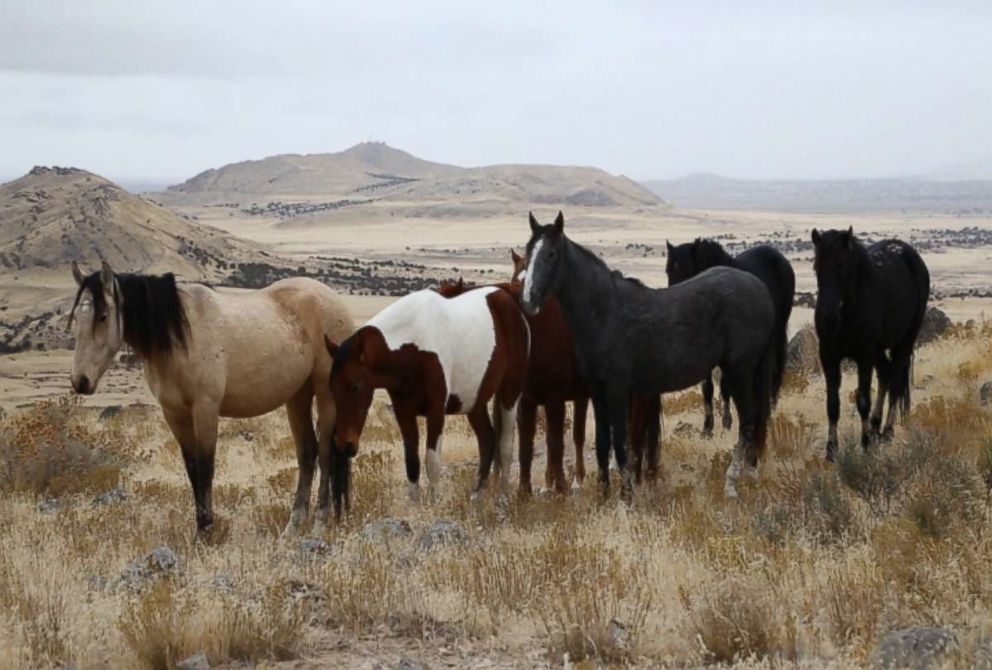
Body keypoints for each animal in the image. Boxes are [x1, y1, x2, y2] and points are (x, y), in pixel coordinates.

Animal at [68, 261, 355, 535]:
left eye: (103, 316)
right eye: (77, 318)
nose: (80, 381)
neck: (179, 338)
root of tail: (334, 301)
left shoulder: (205, 409)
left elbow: (206, 469)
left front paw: (207, 532)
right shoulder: (174, 415)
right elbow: (193, 469)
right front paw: (200, 531)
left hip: (326, 395)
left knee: (326, 453)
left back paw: (320, 523)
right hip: (297, 396)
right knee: (307, 453)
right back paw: (292, 527)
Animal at [323, 285, 529, 514]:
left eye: (355, 386)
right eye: (332, 387)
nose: (345, 445)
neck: (412, 347)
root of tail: (506, 297)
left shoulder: (436, 411)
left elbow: (432, 461)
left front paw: (434, 505)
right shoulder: (403, 413)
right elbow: (412, 461)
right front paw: (415, 508)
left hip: (510, 392)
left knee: (505, 443)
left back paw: (502, 497)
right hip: (474, 401)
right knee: (487, 440)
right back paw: (477, 496)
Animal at [521, 212, 777, 498]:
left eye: (551, 254)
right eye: (528, 252)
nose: (528, 299)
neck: (606, 311)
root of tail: (760, 289)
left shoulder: (618, 391)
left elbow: (622, 446)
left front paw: (625, 498)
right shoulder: (598, 392)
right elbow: (602, 444)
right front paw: (603, 496)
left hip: (739, 370)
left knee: (748, 422)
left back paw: (731, 483)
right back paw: (750, 472)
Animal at [666, 238, 795, 436]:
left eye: (687, 271)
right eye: (668, 271)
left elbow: (725, 385)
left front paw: (727, 423)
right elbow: (707, 387)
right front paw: (707, 428)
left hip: (777, 331)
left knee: (774, 371)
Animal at [810, 227, 930, 460]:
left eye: (842, 265)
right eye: (816, 266)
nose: (828, 318)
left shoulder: (864, 356)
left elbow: (863, 400)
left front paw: (864, 443)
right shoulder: (829, 356)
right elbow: (832, 404)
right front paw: (831, 449)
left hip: (905, 340)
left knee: (896, 379)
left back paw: (886, 432)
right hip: (878, 349)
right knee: (885, 371)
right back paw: (875, 427)